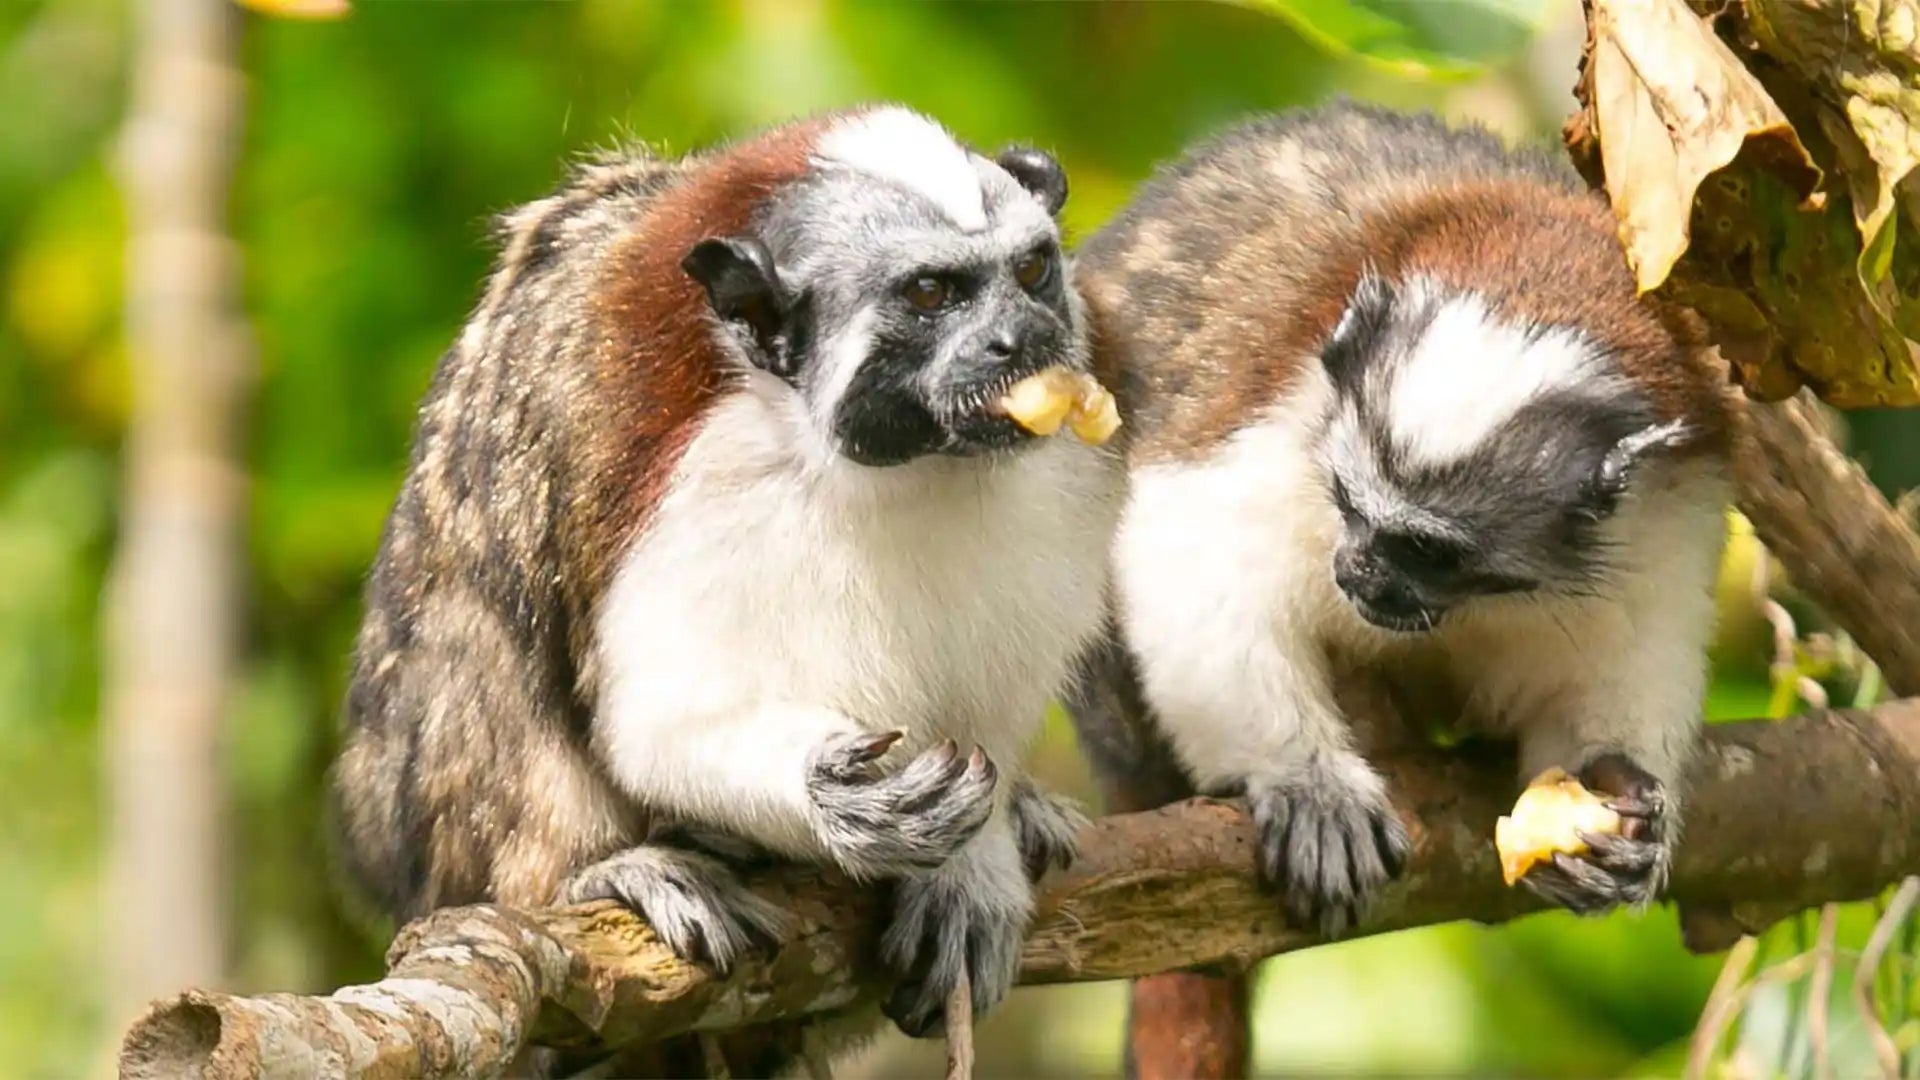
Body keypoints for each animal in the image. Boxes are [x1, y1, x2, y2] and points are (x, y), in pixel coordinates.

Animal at [331, 105, 1120, 1074]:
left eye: (1033, 271)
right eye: (932, 294)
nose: (1024, 340)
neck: (914, 467)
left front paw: (977, 864)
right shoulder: (698, 483)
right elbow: (659, 726)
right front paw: (827, 799)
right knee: (480, 640)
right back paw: (600, 871)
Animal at [1064, 100, 1732, 942]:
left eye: (1430, 552)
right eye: (1349, 503)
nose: (1358, 575)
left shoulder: (1670, 504)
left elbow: (1634, 652)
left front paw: (1615, 796)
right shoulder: (1281, 400)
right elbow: (1185, 549)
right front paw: (1304, 779)